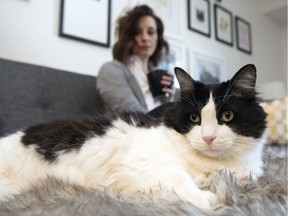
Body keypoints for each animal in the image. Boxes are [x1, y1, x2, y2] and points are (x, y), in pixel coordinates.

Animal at [0, 64, 266, 211]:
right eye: (194, 118)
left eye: (227, 116)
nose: (208, 138)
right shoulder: (147, 160)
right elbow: (179, 181)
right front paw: (212, 200)